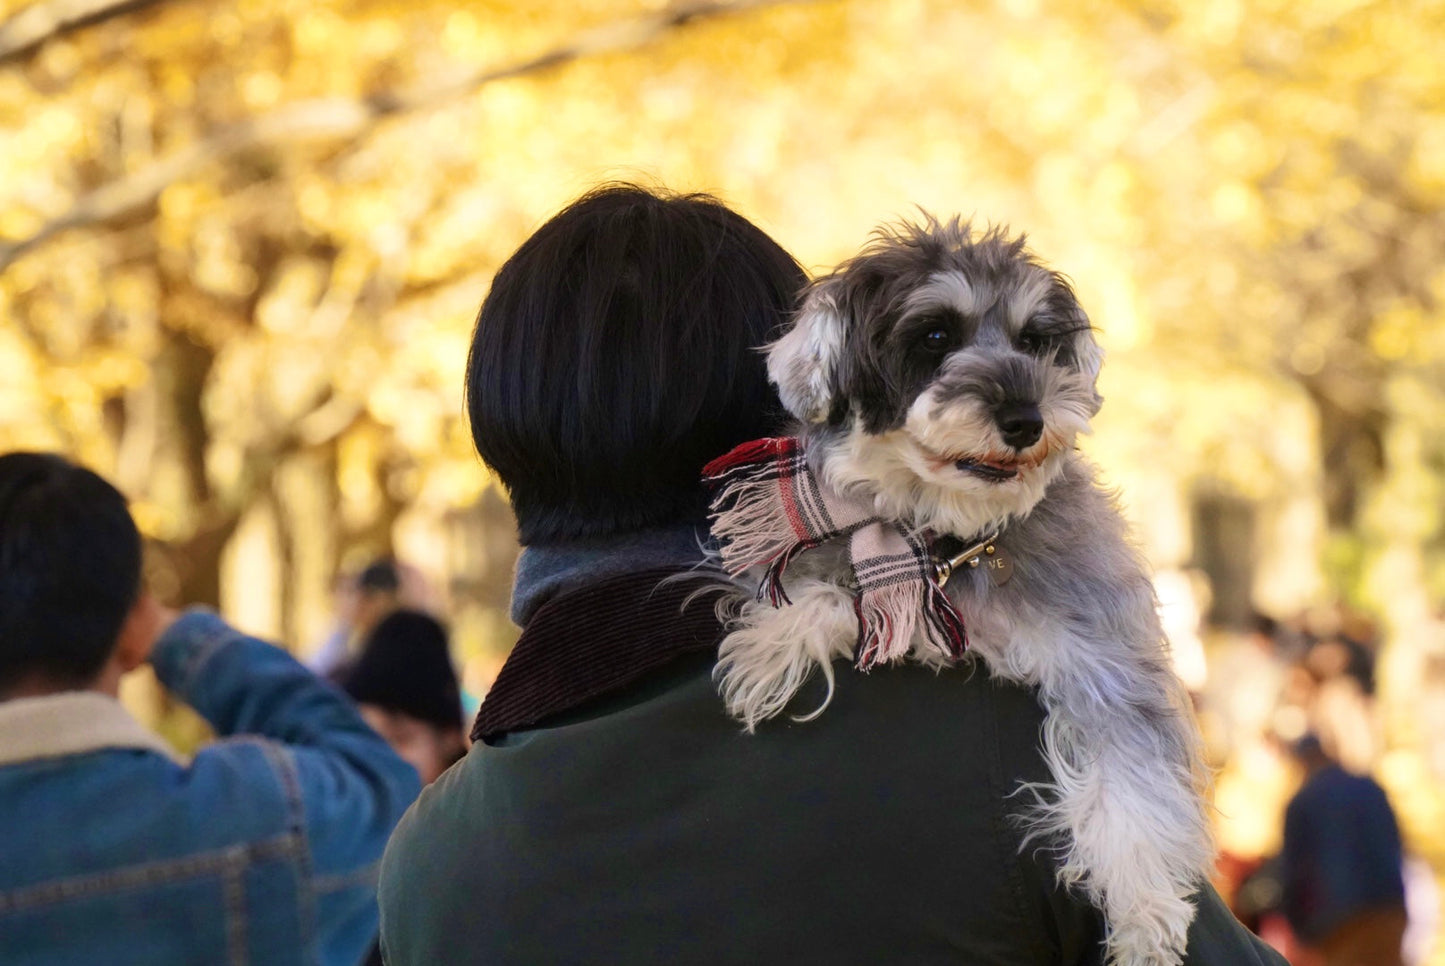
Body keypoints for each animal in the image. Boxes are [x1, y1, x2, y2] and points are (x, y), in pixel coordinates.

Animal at [710, 218, 1219, 964]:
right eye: (934, 336)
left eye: (1034, 341)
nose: (1026, 419)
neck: (953, 542)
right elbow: (829, 590)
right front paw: (772, 647)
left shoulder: (1108, 664)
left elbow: (1133, 788)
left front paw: (1145, 917)